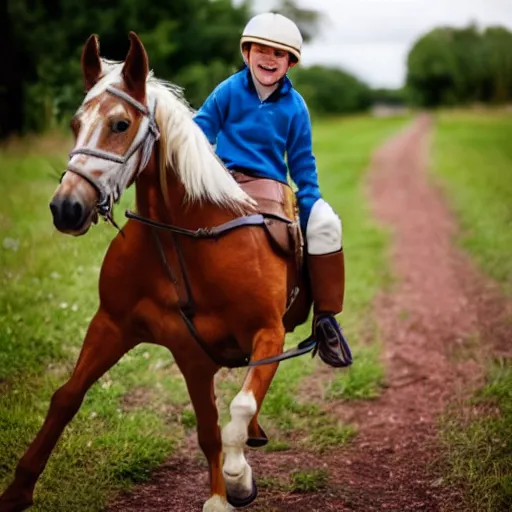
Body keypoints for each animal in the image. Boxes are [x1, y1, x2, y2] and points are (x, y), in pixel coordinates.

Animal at [0, 33, 316, 512]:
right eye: (75, 124)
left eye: (119, 124)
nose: (66, 207)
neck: (185, 240)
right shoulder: (126, 330)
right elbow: (67, 397)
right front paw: (18, 489)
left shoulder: (267, 333)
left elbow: (237, 411)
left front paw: (234, 482)